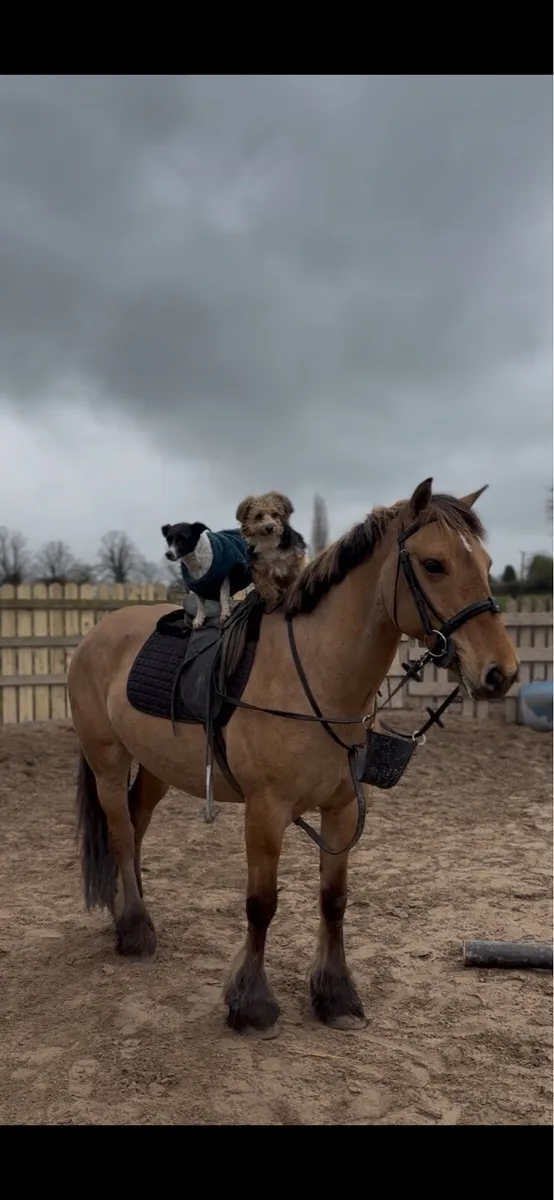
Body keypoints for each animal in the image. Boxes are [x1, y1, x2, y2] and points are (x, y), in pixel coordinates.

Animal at [67, 478, 519, 1037]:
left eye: (486, 562)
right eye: (434, 564)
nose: (501, 671)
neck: (316, 674)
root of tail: (95, 635)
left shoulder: (342, 808)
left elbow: (334, 900)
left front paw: (336, 996)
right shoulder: (265, 813)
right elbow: (262, 904)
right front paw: (252, 1005)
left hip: (154, 766)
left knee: (136, 824)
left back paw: (131, 912)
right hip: (107, 761)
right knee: (122, 835)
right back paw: (134, 932)